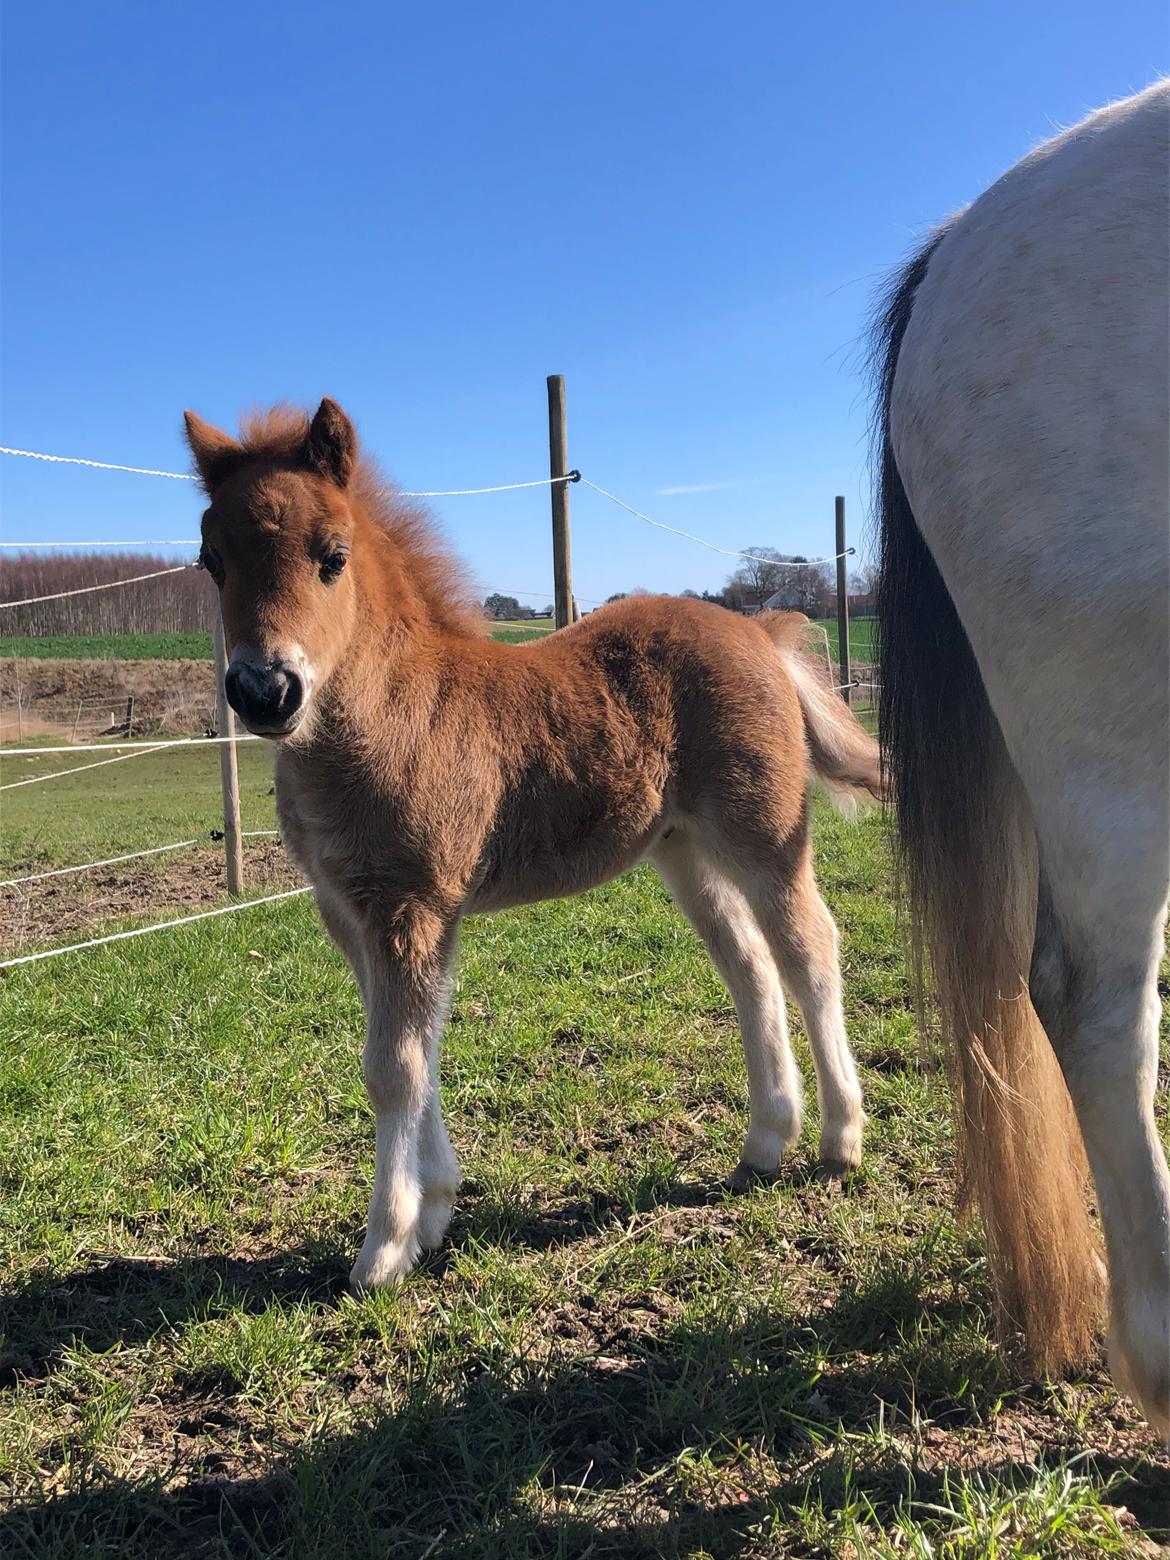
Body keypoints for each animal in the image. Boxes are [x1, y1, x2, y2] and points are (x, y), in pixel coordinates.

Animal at [185, 396, 879, 1285]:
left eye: (332, 557)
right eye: (211, 560)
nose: (265, 690)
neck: (390, 714)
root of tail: (758, 632)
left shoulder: (414, 904)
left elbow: (394, 1068)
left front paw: (383, 1250)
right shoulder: (350, 912)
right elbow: (415, 1052)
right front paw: (435, 1212)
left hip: (763, 833)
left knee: (809, 951)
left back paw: (839, 1140)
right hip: (684, 849)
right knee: (751, 969)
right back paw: (763, 1144)